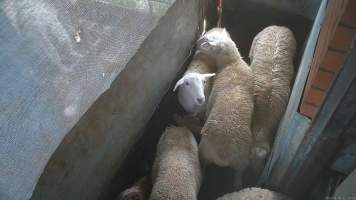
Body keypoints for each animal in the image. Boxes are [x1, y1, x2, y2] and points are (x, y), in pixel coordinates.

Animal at [196, 28, 254, 188]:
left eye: (208, 42)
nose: (197, 44)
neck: (232, 63)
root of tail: (222, 154)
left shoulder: (210, 102)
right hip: (242, 161)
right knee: (239, 177)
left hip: (204, 150)